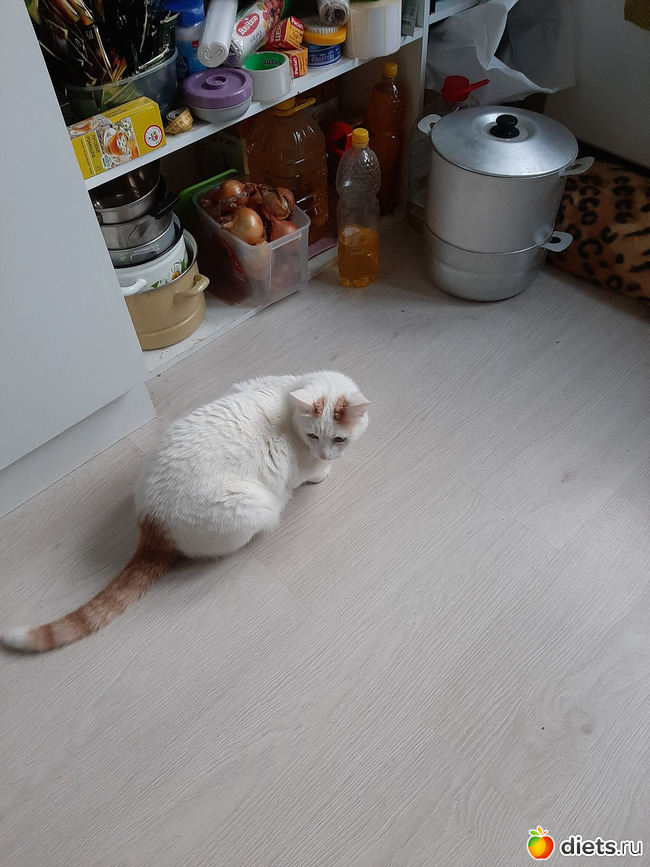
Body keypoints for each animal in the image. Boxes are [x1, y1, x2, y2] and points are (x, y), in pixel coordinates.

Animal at [1, 371, 369, 654]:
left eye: (338, 439)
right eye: (313, 436)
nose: (327, 454)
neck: (286, 401)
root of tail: (151, 525)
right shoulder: (300, 465)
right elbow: (310, 474)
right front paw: (322, 473)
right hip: (253, 506)